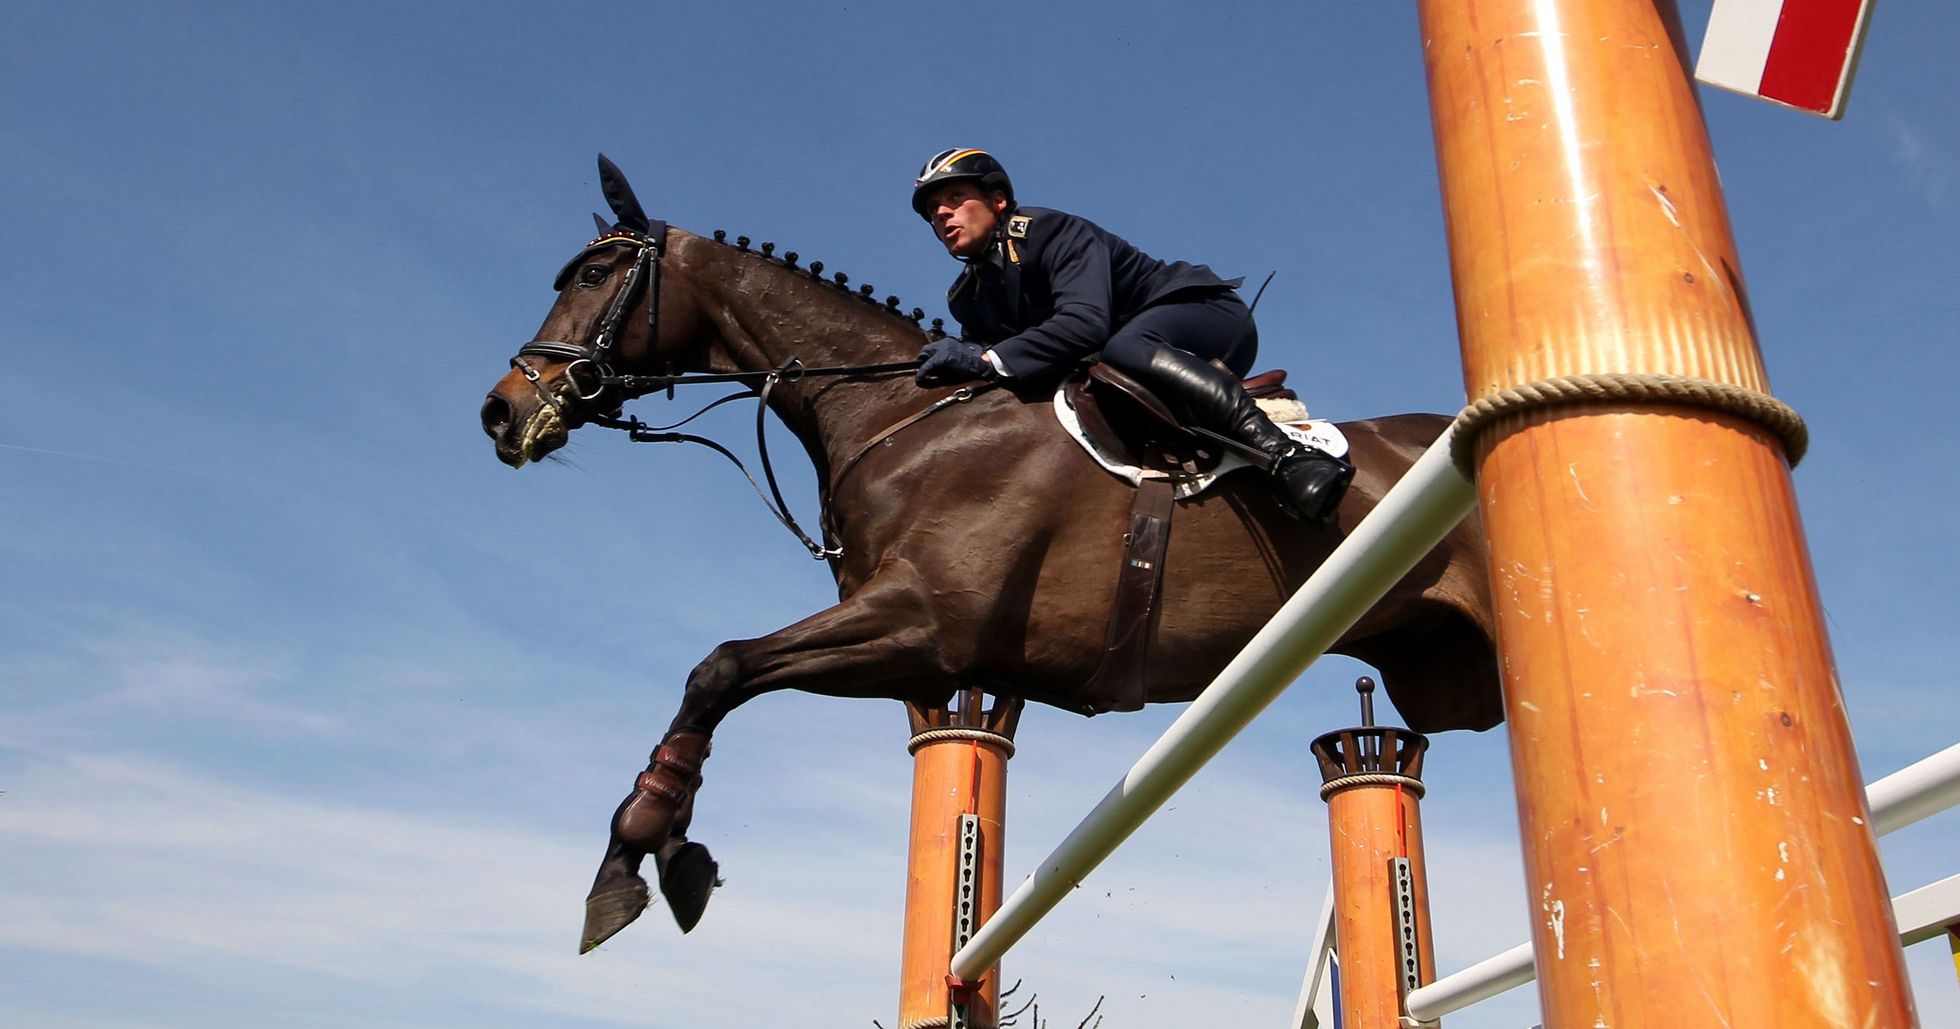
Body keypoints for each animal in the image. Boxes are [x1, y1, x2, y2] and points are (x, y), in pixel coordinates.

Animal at [478, 156, 1497, 952]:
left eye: (596, 271)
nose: (501, 410)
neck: (902, 418)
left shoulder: (922, 622)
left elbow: (719, 668)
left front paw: (638, 852)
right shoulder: (924, 659)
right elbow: (724, 676)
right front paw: (651, 853)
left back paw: (1308, 473)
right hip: (1455, 684)